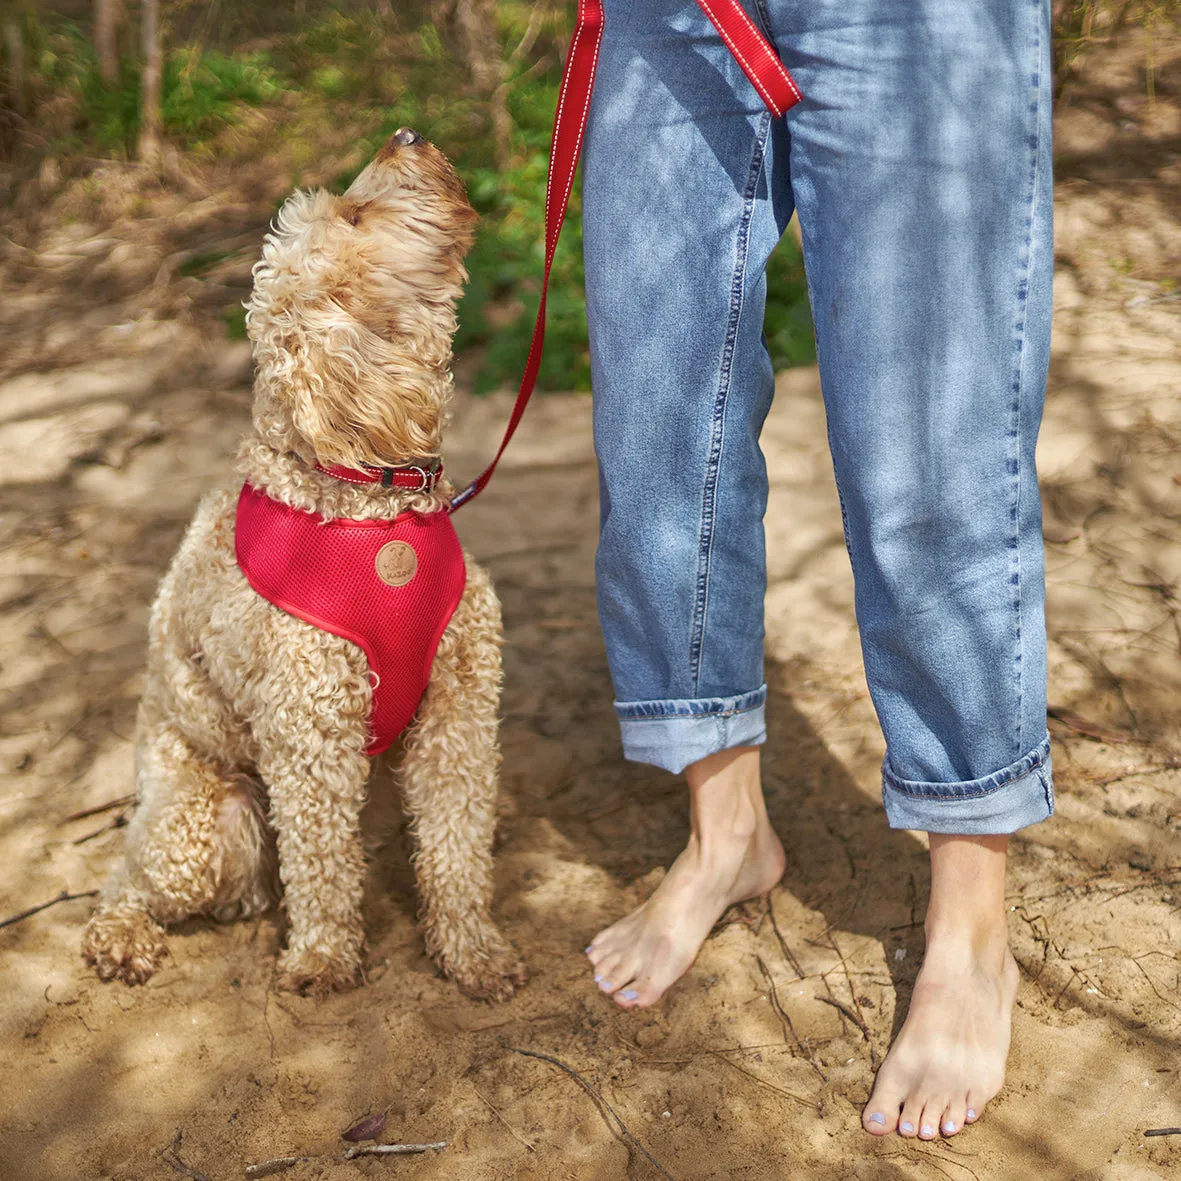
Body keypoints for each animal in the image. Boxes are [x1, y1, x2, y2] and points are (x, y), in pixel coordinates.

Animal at [80, 126, 524, 996]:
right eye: (353, 217)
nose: (407, 132)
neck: (366, 498)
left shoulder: (456, 711)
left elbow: (454, 848)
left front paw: (471, 950)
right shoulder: (310, 734)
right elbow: (320, 866)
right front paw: (321, 956)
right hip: (204, 818)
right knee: (129, 877)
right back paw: (119, 936)